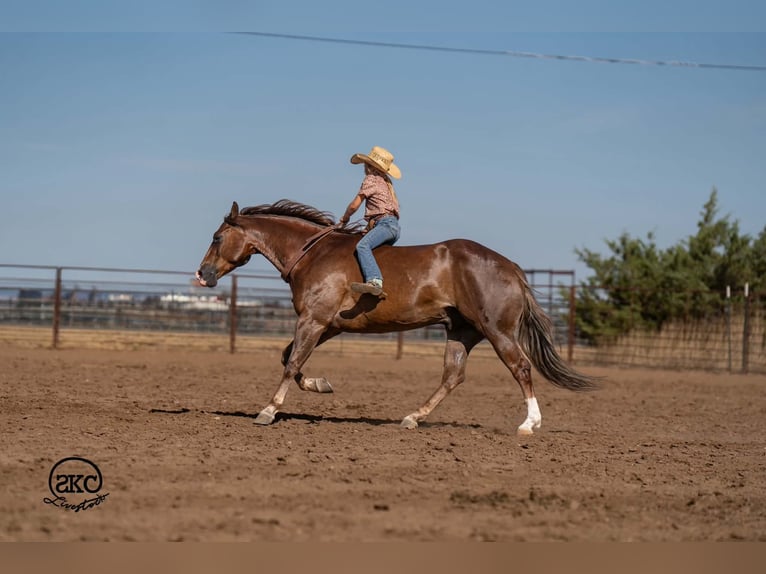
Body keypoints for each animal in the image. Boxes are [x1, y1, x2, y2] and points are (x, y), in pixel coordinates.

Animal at [196, 199, 597, 435]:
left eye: (216, 237)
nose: (203, 274)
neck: (313, 254)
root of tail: (511, 268)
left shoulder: (314, 319)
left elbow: (291, 362)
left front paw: (268, 410)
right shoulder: (328, 325)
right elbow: (289, 359)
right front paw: (321, 384)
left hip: (497, 331)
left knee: (521, 368)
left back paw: (530, 423)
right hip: (462, 331)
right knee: (453, 376)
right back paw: (412, 418)